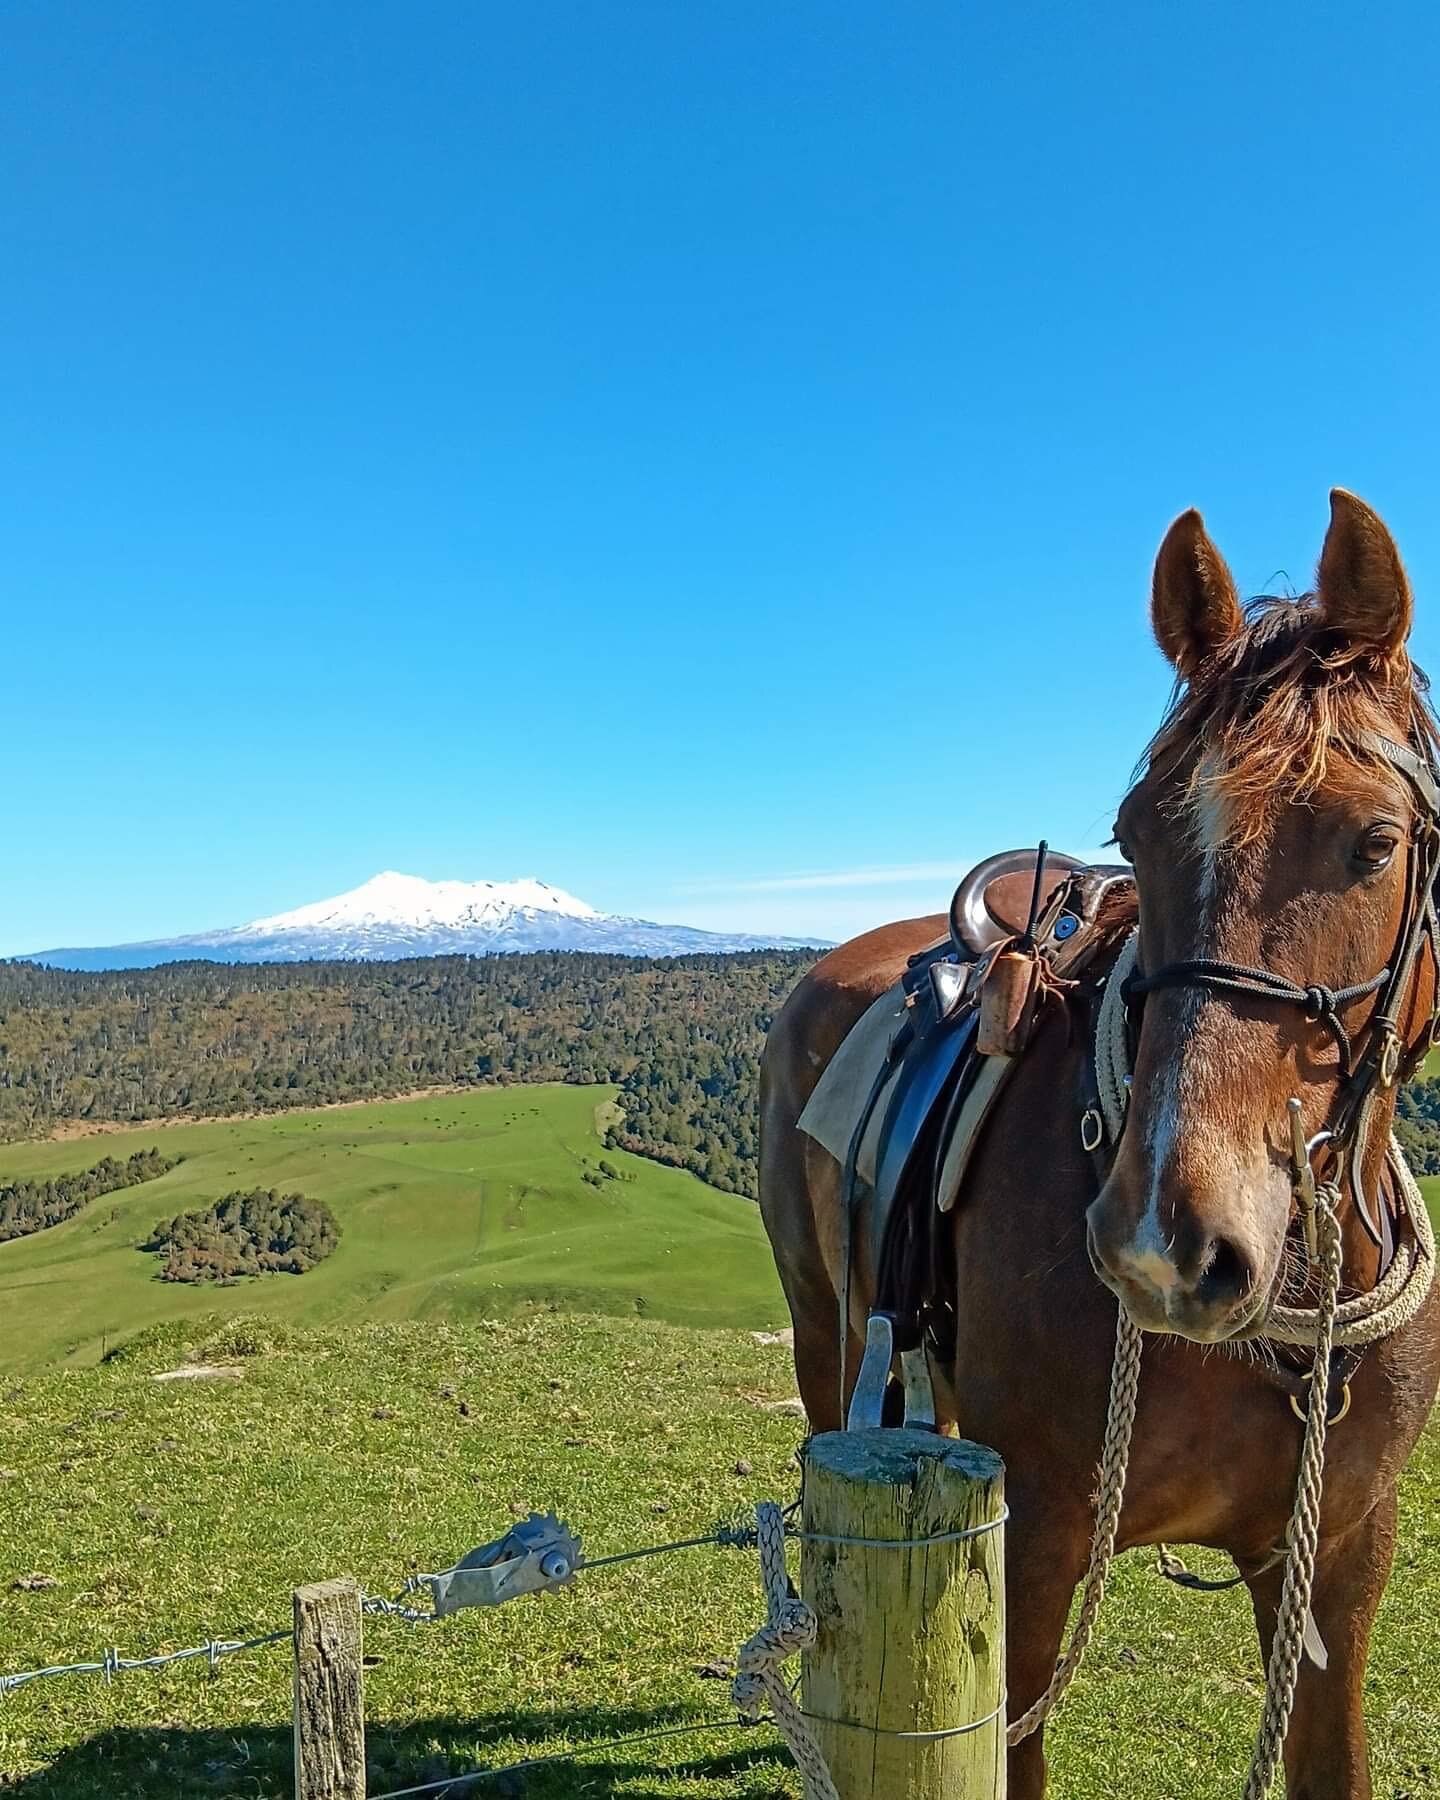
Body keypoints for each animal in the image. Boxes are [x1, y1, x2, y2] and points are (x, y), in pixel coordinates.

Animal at [759, 486, 1440, 1792]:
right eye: (1135, 829)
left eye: (1377, 842)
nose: (1168, 1246)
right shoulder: (1030, 1551)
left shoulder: (1336, 1563)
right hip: (827, 1331)